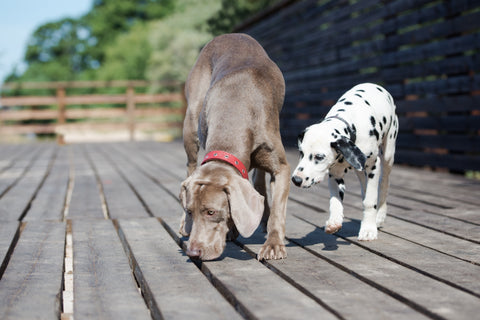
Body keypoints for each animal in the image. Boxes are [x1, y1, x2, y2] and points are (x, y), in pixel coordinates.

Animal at [178, 33, 288, 262]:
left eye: (211, 212)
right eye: (190, 210)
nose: (192, 252)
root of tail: (227, 35)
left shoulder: (281, 167)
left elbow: (278, 209)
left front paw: (273, 244)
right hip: (191, 120)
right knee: (190, 164)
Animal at [292, 82, 398, 240]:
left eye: (319, 157)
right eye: (301, 153)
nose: (296, 180)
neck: (351, 124)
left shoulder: (373, 166)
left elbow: (370, 200)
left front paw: (368, 229)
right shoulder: (335, 174)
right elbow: (335, 201)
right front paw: (334, 221)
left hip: (388, 156)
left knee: (384, 184)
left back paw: (379, 216)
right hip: (360, 170)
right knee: (364, 187)